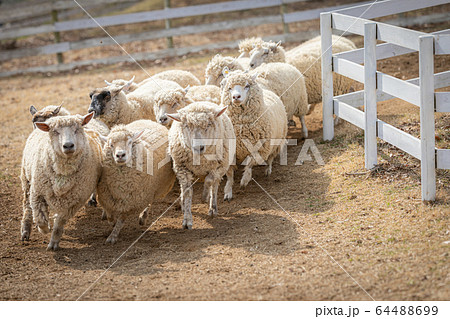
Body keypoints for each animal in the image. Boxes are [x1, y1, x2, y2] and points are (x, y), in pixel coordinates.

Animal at [20, 112, 101, 250]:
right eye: (55, 132)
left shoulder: (74, 203)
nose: (68, 145)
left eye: (77, 129)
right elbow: (41, 220)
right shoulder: (37, 193)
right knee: (27, 207)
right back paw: (25, 230)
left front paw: (54, 243)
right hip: (26, 180)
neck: (63, 173)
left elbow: (59, 224)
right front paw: (44, 229)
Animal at [166, 101, 236, 229]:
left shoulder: (219, 167)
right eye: (187, 126)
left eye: (208, 125)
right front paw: (187, 219)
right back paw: (183, 204)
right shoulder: (181, 168)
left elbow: (209, 180)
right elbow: (188, 192)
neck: (200, 159)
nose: (198, 147)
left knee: (215, 185)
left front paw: (204, 197)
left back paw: (212, 207)